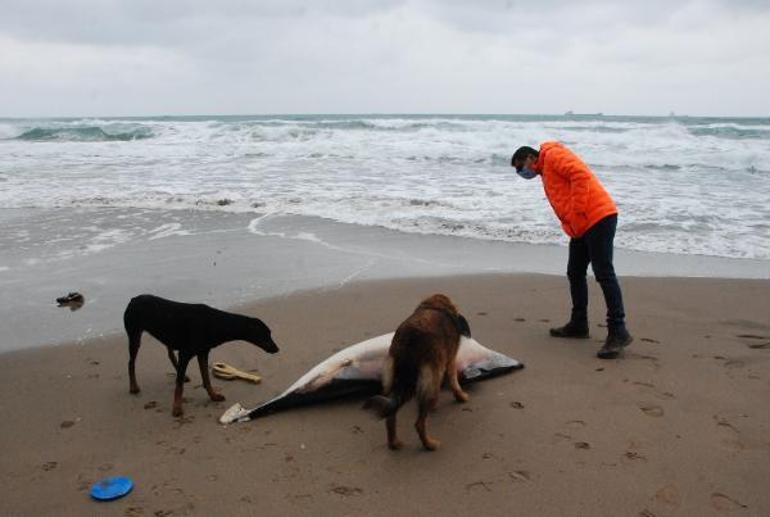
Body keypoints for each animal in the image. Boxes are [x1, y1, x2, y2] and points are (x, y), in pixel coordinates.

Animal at [124, 294, 280, 416]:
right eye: (265, 334)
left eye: (270, 333)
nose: (277, 349)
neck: (216, 323)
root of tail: (133, 299)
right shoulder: (186, 353)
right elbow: (179, 385)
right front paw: (177, 408)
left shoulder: (203, 353)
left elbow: (206, 378)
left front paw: (214, 396)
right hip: (134, 334)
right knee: (131, 362)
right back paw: (133, 387)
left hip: (168, 334)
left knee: (169, 353)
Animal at [364, 294, 472, 448]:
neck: (435, 306)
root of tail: (408, 341)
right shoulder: (450, 361)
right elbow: (454, 383)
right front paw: (461, 397)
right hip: (427, 380)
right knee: (419, 423)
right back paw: (429, 444)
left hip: (400, 382)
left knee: (391, 416)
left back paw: (394, 443)